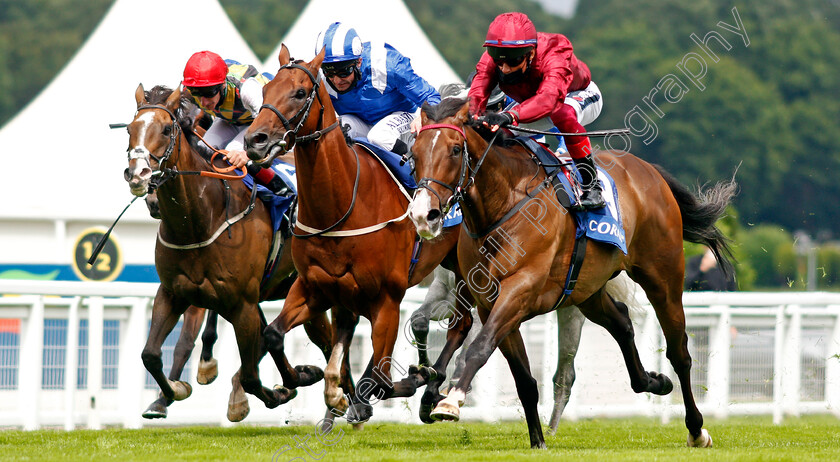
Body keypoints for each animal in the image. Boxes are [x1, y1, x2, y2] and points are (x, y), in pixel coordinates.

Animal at [122, 85, 342, 420]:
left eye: (167, 128)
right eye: (129, 129)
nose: (139, 175)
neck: (199, 221)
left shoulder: (243, 305)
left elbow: (251, 374)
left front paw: (276, 390)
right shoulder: (173, 293)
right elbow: (151, 354)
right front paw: (171, 392)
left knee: (327, 344)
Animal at [243, 47, 472, 422]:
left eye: (300, 92)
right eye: (264, 91)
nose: (253, 140)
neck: (341, 209)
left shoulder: (388, 299)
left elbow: (380, 376)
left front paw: (404, 381)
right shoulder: (314, 288)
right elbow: (274, 334)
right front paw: (302, 378)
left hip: (465, 267)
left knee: (462, 322)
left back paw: (430, 386)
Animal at [408, 99, 736, 450]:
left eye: (456, 150)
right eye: (413, 153)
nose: (424, 215)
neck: (504, 204)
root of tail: (649, 170)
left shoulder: (518, 291)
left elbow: (479, 347)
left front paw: (450, 400)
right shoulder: (489, 302)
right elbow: (523, 378)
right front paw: (537, 441)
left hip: (663, 279)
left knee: (679, 352)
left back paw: (696, 429)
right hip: (587, 290)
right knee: (622, 322)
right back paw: (654, 381)